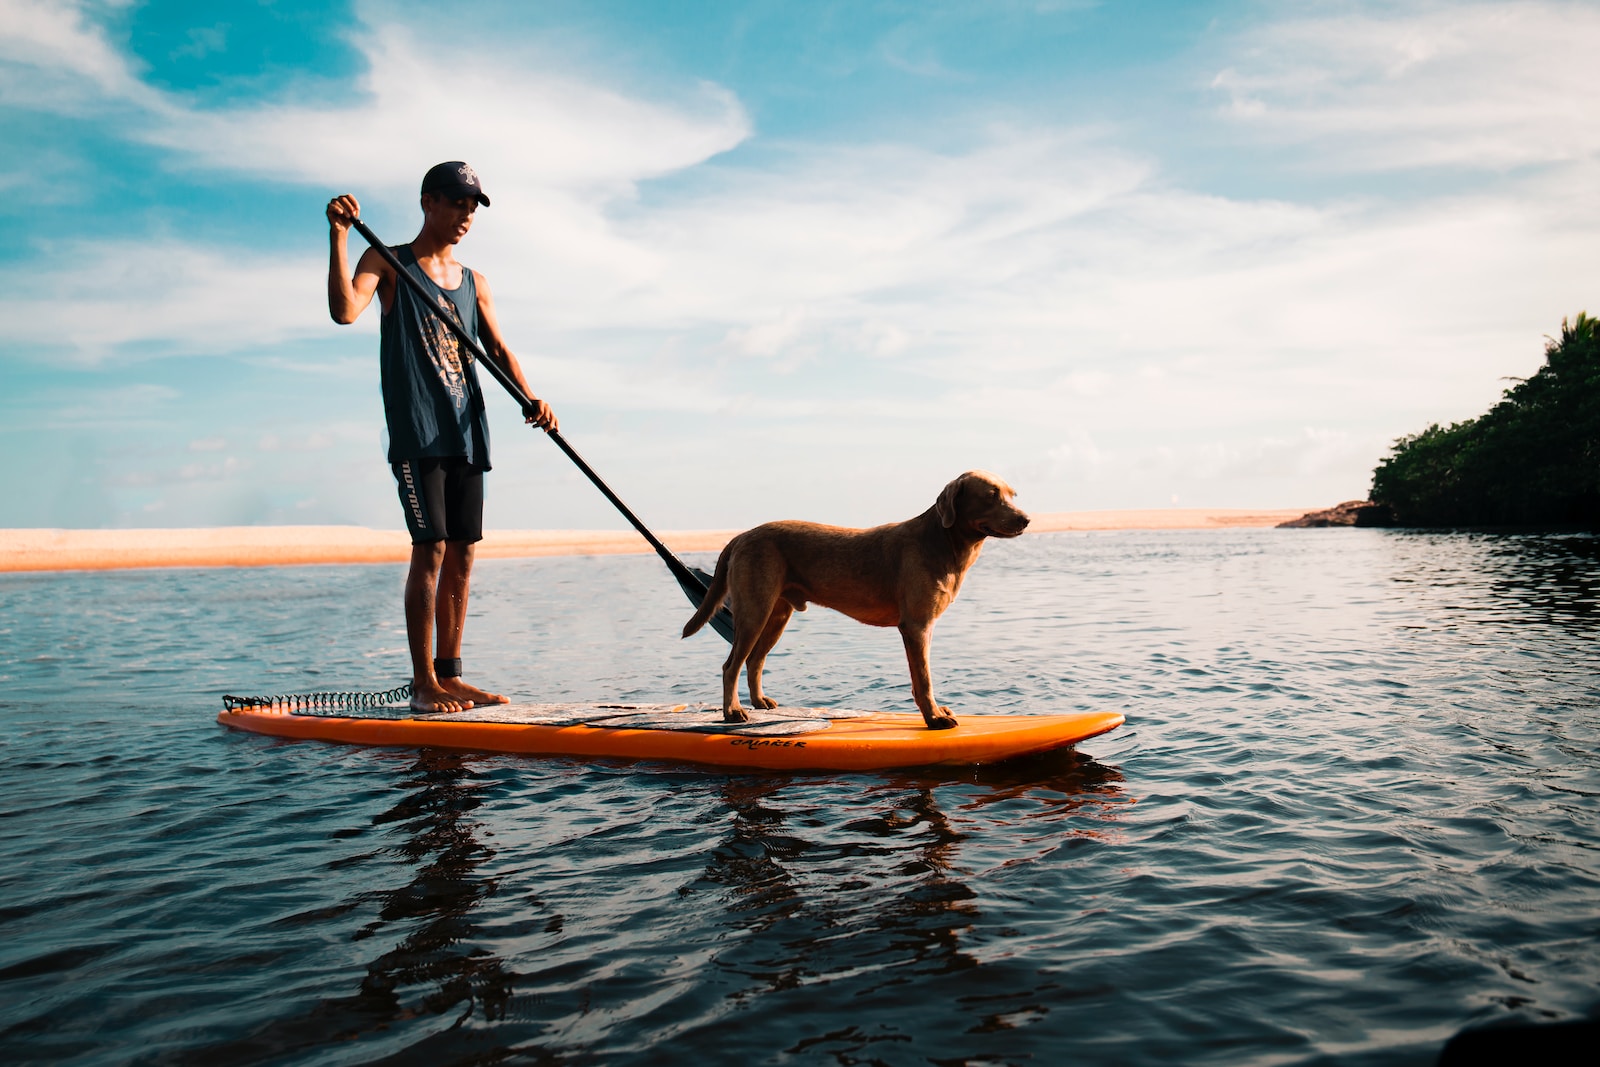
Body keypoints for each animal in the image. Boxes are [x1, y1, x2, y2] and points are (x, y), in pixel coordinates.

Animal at [681, 470, 1030, 729]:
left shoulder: (921, 627)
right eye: (990, 495)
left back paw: (759, 702)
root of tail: (741, 536)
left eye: (1012, 494)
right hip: (755, 609)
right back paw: (733, 712)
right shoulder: (917, 625)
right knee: (731, 665)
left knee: (755, 660)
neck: (943, 542)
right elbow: (924, 679)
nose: (1026, 519)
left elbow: (921, 678)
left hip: (777, 614)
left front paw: (936, 713)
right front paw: (934, 718)